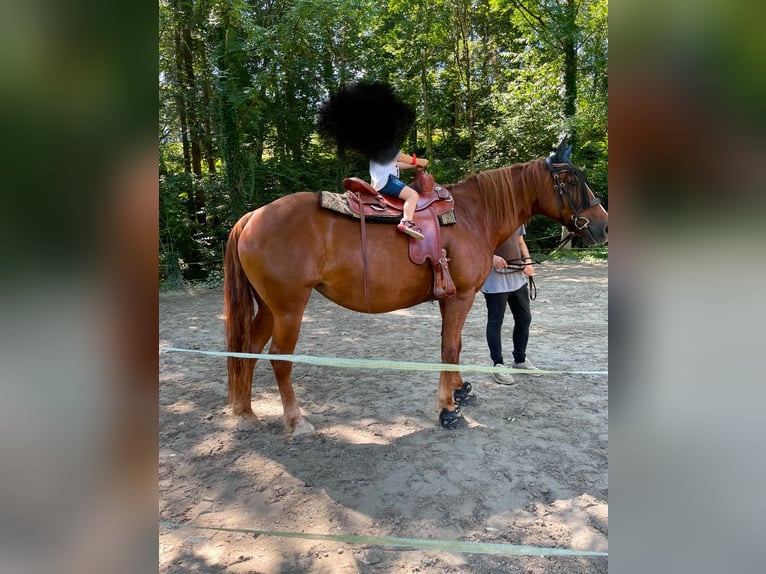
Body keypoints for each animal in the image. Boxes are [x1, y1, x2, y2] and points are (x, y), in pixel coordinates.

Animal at [225, 141, 608, 440]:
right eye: (571, 179)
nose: (603, 226)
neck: (473, 215)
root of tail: (251, 217)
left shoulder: (449, 297)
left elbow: (454, 345)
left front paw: (459, 390)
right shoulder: (462, 296)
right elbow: (449, 347)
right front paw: (447, 409)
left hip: (269, 308)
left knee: (248, 349)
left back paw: (245, 413)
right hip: (289, 308)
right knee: (279, 358)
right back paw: (296, 422)